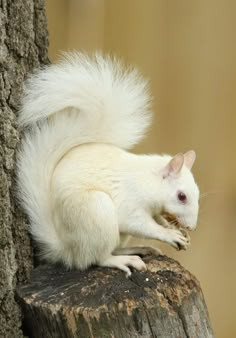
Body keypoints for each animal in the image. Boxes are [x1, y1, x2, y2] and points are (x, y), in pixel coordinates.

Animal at [17, 52, 199, 274]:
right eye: (182, 196)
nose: (191, 227)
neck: (149, 180)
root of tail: (67, 249)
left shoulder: (153, 208)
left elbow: (157, 218)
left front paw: (171, 228)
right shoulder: (131, 202)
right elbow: (140, 224)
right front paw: (169, 234)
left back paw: (139, 249)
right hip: (97, 212)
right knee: (97, 258)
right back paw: (122, 260)